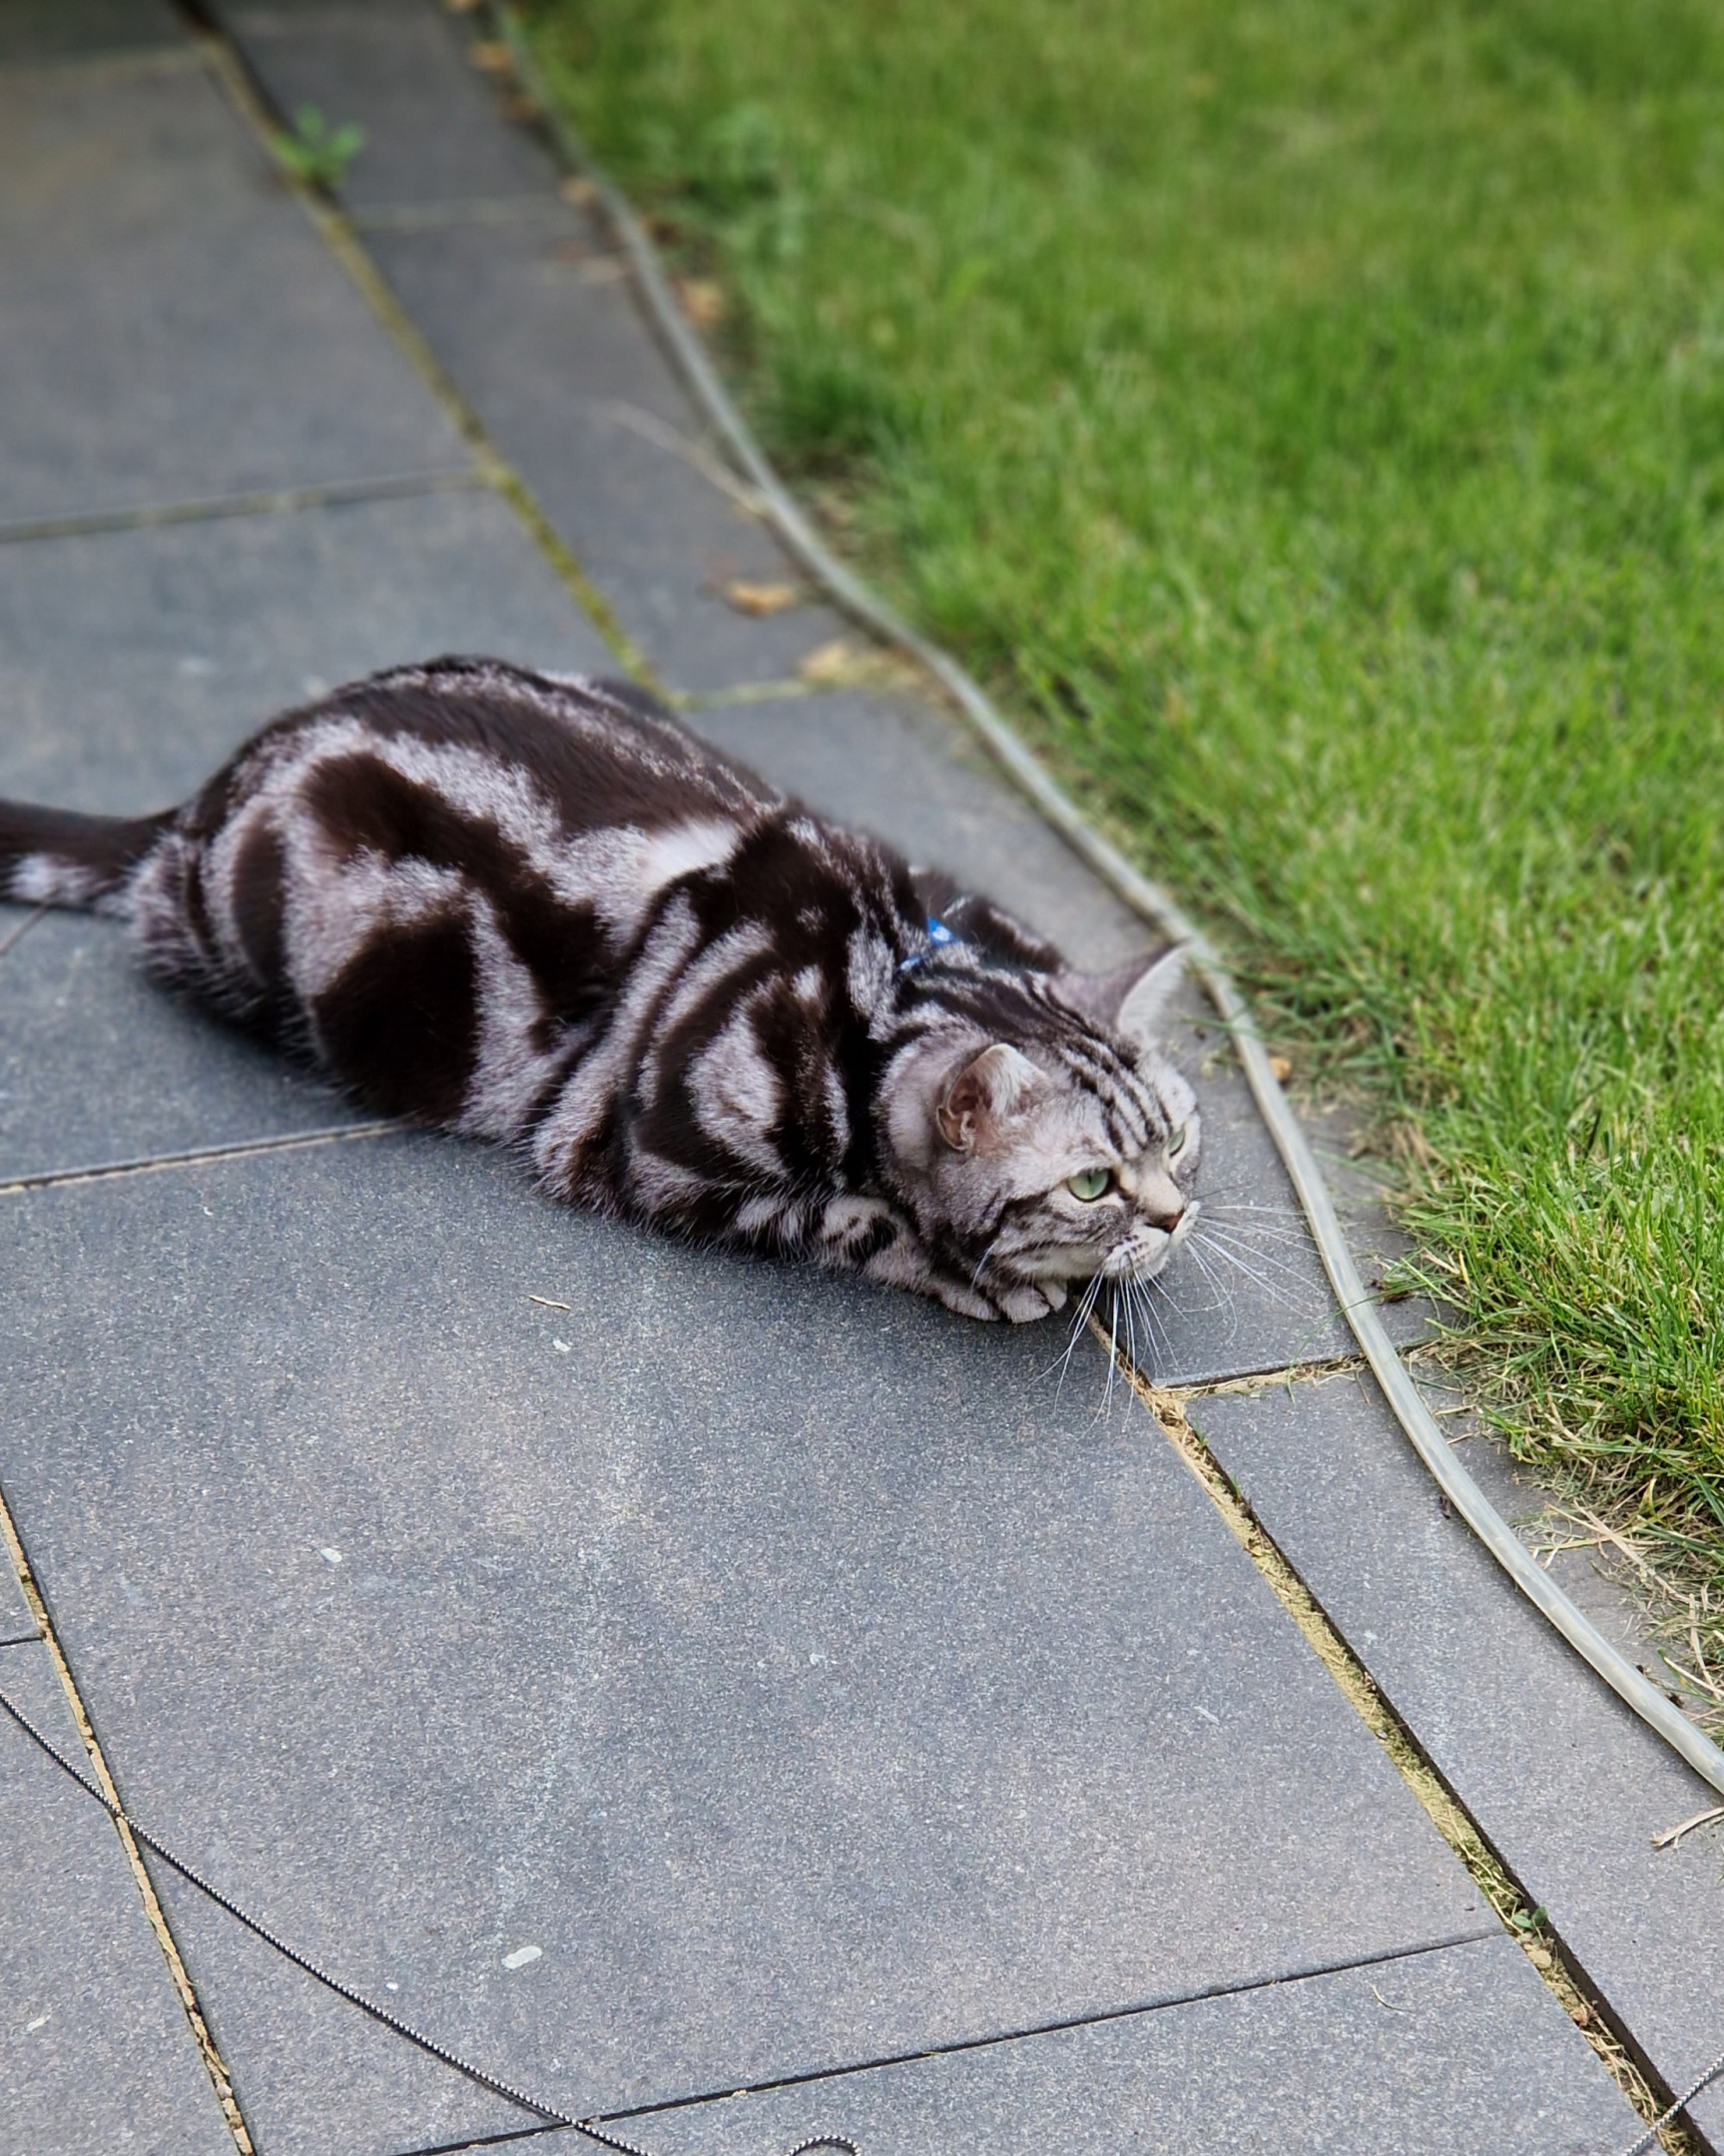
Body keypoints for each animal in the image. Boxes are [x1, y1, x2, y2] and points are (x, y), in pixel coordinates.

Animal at [0, 655, 1189, 1319]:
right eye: (1093, 1183)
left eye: (1176, 1141)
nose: (1178, 1217)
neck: (878, 982)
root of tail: (213, 784)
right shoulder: (653, 1159)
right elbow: (859, 1218)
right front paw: (978, 1272)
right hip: (254, 943)